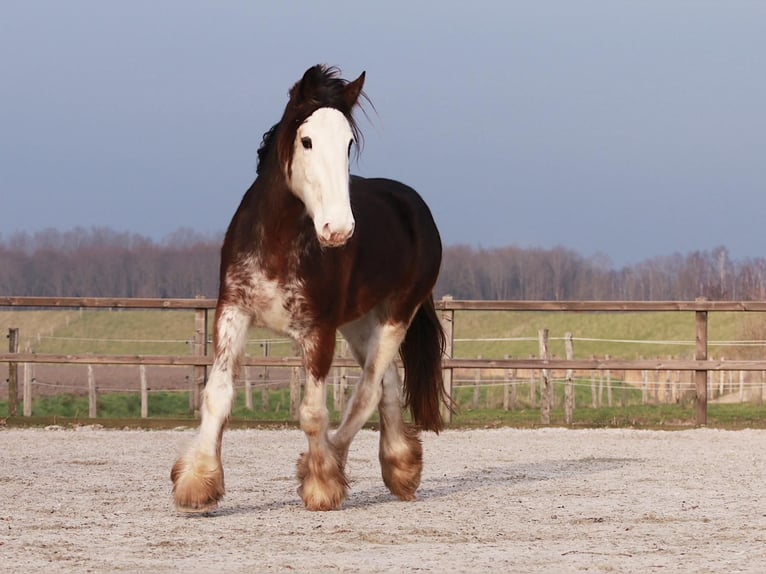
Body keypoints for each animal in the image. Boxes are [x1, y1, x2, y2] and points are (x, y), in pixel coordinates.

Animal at [172, 64, 450, 512]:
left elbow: (313, 412)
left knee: (367, 390)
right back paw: (400, 467)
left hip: (396, 314)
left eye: (349, 143)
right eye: (307, 141)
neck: (278, 242)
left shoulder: (318, 330)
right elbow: (217, 395)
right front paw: (197, 483)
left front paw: (320, 483)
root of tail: (412, 204)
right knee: (386, 383)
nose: (339, 229)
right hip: (360, 322)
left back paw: (334, 463)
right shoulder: (233, 312)